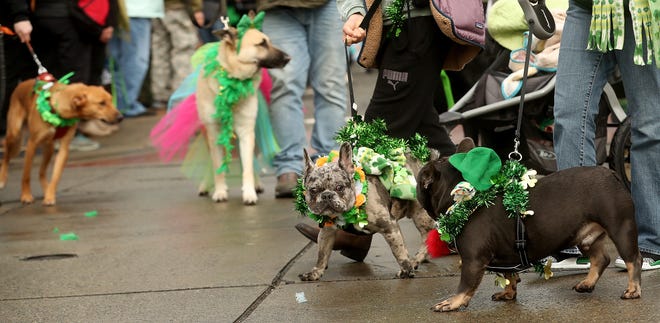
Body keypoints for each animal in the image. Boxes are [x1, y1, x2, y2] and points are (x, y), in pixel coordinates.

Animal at [0, 77, 122, 206]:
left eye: (111, 100)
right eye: (102, 103)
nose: (121, 117)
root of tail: (22, 83)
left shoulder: (64, 148)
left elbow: (56, 176)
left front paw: (50, 195)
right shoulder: (32, 144)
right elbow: (26, 175)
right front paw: (26, 195)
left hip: (49, 148)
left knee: (41, 172)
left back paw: (46, 189)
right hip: (14, 134)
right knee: (6, 155)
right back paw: (2, 178)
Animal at [418, 138, 640, 312]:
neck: (464, 199)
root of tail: (611, 175)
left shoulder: (473, 260)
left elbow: (465, 285)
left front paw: (452, 303)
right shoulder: (506, 255)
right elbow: (509, 275)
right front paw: (508, 293)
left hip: (621, 228)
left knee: (632, 260)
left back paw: (633, 290)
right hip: (585, 236)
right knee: (601, 259)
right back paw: (587, 283)